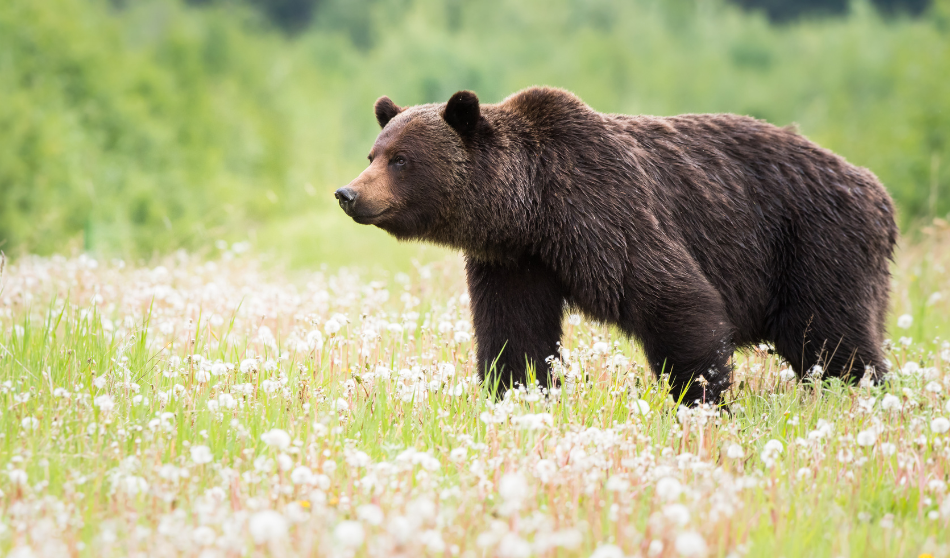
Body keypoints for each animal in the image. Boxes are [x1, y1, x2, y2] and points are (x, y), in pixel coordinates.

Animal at [336, 85, 900, 404]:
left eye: (402, 159)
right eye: (374, 153)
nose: (349, 194)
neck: (533, 210)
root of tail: (877, 190)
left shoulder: (606, 213)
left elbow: (677, 298)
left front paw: (702, 397)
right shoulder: (515, 262)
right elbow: (515, 333)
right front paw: (515, 391)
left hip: (816, 244)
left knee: (832, 338)